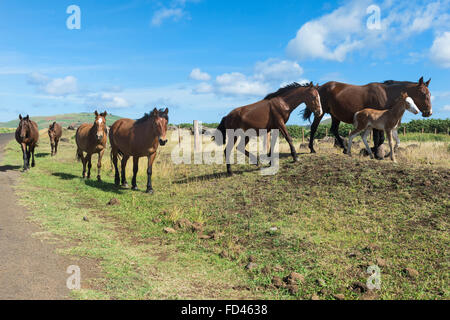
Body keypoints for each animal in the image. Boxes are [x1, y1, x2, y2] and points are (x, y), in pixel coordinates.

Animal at [302, 77, 432, 158]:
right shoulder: (376, 122)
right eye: (423, 94)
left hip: (335, 115)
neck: (386, 94)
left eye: (430, 94)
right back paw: (312, 149)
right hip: (320, 112)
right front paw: (376, 153)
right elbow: (378, 139)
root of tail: (319, 88)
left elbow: (381, 139)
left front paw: (377, 152)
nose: (429, 112)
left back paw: (344, 149)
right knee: (314, 128)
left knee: (334, 130)